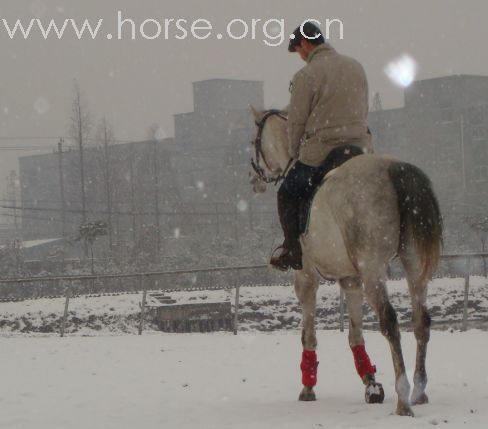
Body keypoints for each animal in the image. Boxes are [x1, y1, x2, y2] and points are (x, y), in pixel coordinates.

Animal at [250, 107, 444, 414]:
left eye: (254, 142)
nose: (253, 178)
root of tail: (393, 169)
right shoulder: (351, 280)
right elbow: (355, 334)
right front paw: (370, 383)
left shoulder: (306, 278)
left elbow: (308, 334)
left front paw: (308, 386)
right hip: (413, 265)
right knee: (421, 320)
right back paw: (419, 391)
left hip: (373, 268)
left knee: (390, 322)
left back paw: (403, 398)